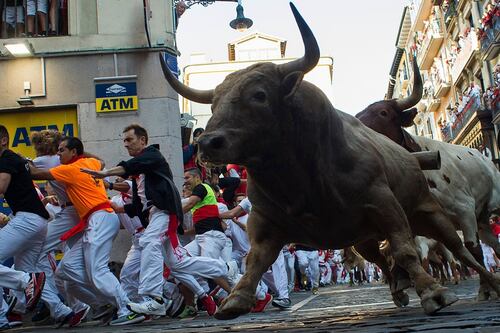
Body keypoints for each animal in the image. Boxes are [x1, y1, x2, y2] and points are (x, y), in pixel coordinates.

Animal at [161, 3, 500, 320]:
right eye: (214, 103)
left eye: (259, 95)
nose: (208, 143)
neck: (299, 180)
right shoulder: (265, 220)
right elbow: (255, 260)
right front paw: (237, 298)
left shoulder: (385, 205)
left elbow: (405, 250)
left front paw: (433, 292)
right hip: (366, 237)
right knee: (384, 259)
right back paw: (399, 288)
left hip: (430, 212)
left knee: (463, 251)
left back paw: (487, 285)